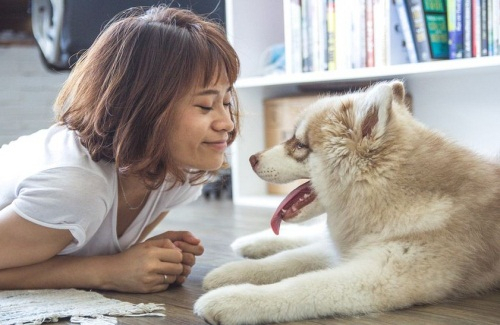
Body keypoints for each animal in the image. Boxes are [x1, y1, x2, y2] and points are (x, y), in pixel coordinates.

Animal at [193, 79, 500, 322]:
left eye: (300, 145)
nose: (251, 159)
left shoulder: (378, 274)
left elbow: (302, 285)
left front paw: (232, 299)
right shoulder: (350, 249)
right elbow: (287, 260)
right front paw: (233, 272)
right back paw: (251, 243)